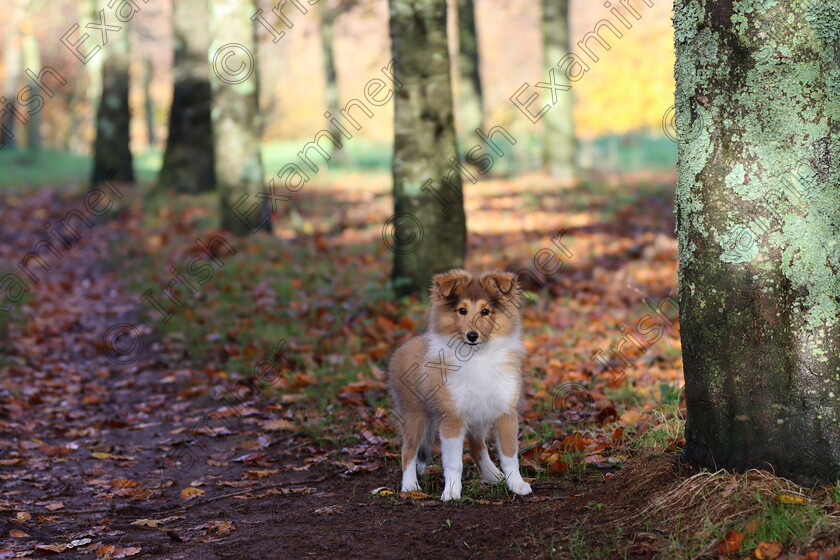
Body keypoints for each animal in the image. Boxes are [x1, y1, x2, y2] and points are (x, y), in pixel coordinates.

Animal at [388, 270, 532, 500]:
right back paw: (410, 486)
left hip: (478, 416)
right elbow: (454, 463)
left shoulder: (505, 413)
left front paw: (517, 485)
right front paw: (452, 492)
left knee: (476, 447)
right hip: (415, 415)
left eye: (485, 311)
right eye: (462, 310)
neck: (478, 356)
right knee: (407, 450)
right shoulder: (452, 418)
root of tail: (404, 347)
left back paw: (494, 477)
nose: (472, 336)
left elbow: (510, 456)